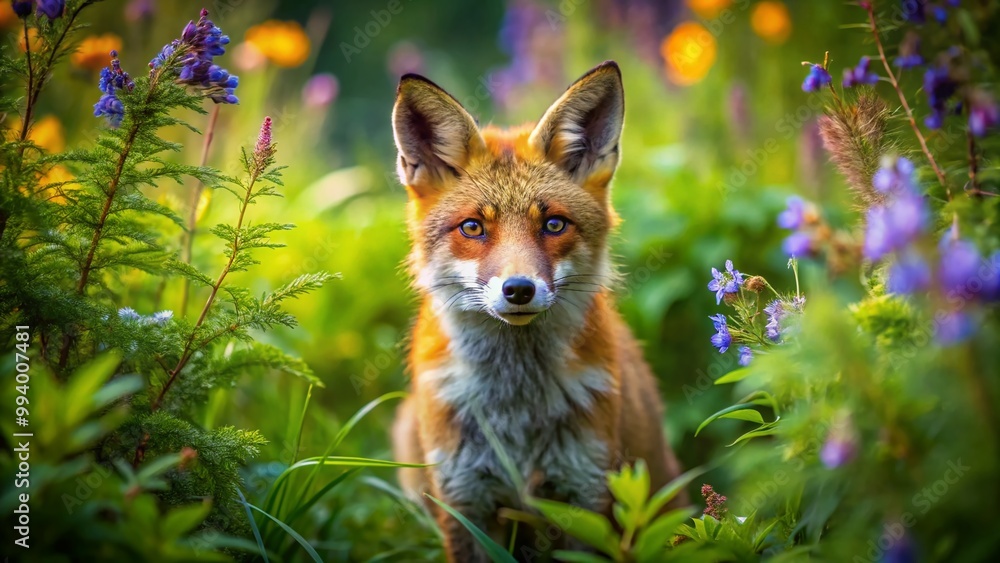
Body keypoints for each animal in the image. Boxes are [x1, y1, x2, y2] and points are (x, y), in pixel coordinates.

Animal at [390, 61, 685, 562]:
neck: (516, 412)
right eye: (473, 227)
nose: (519, 289)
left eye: (553, 224)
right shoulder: (463, 499)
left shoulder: (585, 495)